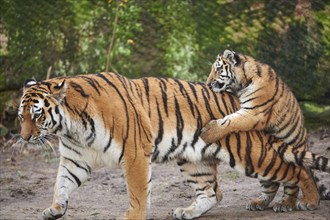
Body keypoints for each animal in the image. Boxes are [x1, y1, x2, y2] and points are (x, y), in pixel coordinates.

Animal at [19, 72, 328, 218]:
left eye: (37, 114)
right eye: (21, 116)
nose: (23, 137)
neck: (71, 128)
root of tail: (238, 101)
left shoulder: (134, 152)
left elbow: (137, 192)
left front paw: (133, 217)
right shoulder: (75, 159)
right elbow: (61, 184)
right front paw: (54, 209)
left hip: (251, 154)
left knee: (296, 170)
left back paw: (308, 201)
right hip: (194, 161)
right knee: (211, 193)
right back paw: (188, 212)